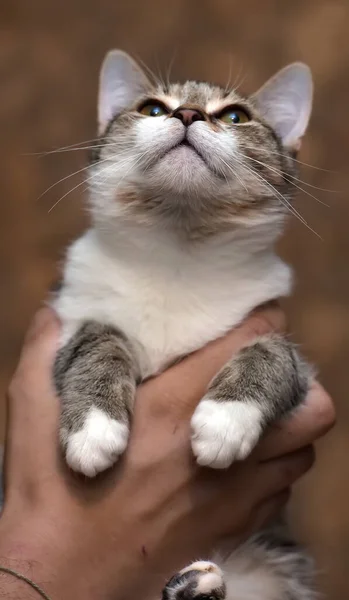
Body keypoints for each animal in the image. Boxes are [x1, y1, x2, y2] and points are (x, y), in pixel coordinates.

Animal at [53, 51, 314, 600]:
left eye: (235, 116)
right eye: (152, 108)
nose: (189, 114)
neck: (176, 260)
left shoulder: (299, 367)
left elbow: (274, 351)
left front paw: (226, 419)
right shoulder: (68, 318)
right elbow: (99, 339)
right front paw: (94, 426)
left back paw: (198, 585)